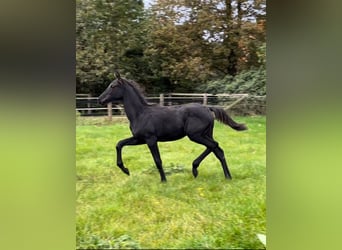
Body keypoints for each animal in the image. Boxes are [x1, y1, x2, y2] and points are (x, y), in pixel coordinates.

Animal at [98, 71, 246, 183]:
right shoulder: (139, 139)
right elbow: (119, 144)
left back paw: (195, 169)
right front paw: (126, 170)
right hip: (205, 134)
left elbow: (157, 160)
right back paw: (226, 176)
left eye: (113, 86)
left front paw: (164, 181)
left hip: (195, 135)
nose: (100, 99)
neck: (140, 114)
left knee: (214, 146)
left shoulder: (151, 139)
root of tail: (207, 108)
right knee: (217, 150)